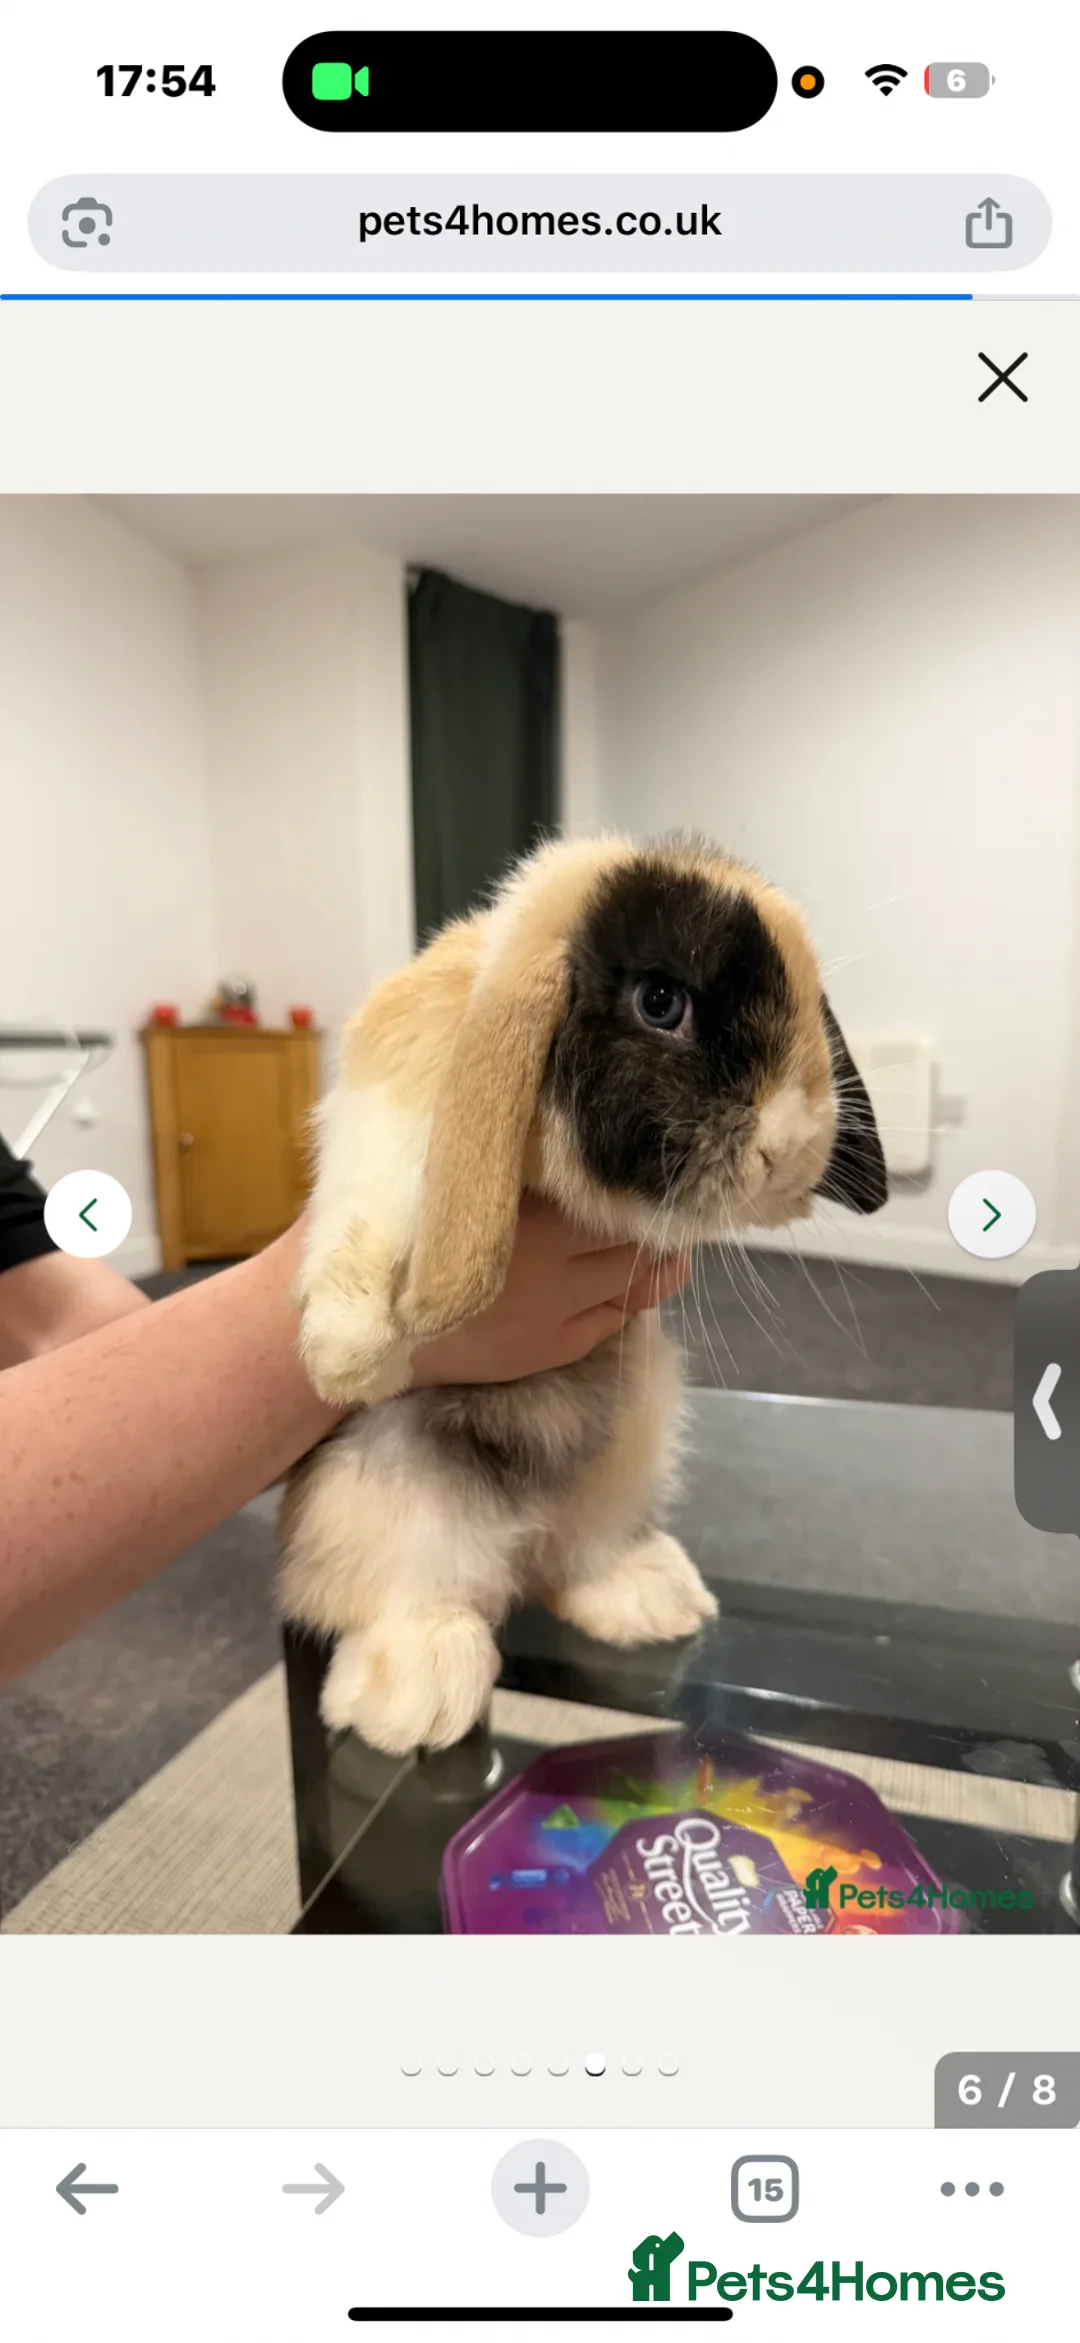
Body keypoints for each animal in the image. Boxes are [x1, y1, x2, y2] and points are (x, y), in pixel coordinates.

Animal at [279, 834, 887, 1755]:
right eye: (661, 1002)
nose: (786, 1147)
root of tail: (525, 1539)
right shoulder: (403, 1068)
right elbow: (377, 1176)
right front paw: (347, 1356)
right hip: (385, 1491)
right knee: (407, 1590)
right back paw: (418, 1696)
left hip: (629, 1450)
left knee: (578, 1561)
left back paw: (655, 1598)